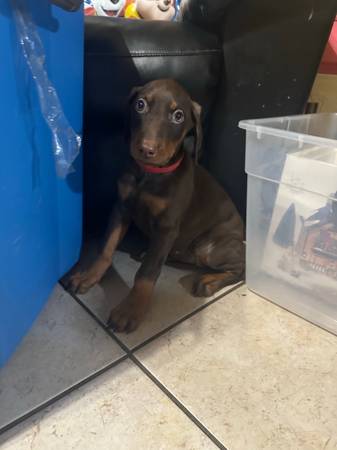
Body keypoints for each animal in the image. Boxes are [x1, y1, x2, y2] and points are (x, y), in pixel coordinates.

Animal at [69, 79, 243, 332]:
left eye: (178, 116)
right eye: (140, 105)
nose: (146, 149)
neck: (149, 175)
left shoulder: (167, 227)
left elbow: (147, 272)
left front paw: (130, 309)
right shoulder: (121, 207)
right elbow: (106, 247)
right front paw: (89, 275)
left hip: (210, 247)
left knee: (240, 268)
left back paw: (209, 282)